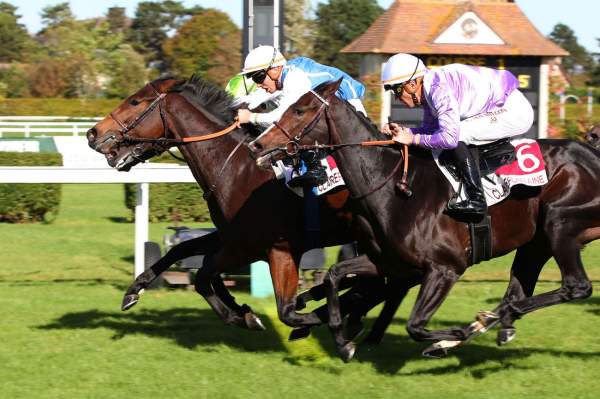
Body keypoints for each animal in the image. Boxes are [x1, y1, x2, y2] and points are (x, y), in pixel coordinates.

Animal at [85, 76, 408, 340]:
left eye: (135, 101)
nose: (92, 133)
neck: (236, 167)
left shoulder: (266, 248)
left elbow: (207, 277)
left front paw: (248, 317)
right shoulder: (232, 236)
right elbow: (183, 252)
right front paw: (133, 291)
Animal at [247, 79, 596, 360]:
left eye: (300, 110)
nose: (257, 145)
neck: (393, 187)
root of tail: (590, 153)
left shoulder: (445, 269)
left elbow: (415, 325)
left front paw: (450, 339)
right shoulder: (389, 262)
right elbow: (334, 275)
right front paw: (342, 340)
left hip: (559, 223)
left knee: (576, 286)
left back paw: (489, 321)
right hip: (536, 242)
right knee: (519, 290)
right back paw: (499, 322)